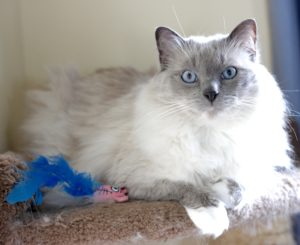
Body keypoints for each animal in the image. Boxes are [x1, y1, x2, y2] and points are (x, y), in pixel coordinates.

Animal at [19, 19, 292, 237]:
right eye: (189, 77)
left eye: (229, 73)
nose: (211, 95)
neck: (207, 134)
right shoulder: (130, 178)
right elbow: (187, 186)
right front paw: (213, 216)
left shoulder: (250, 169)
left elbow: (236, 190)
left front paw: (221, 191)